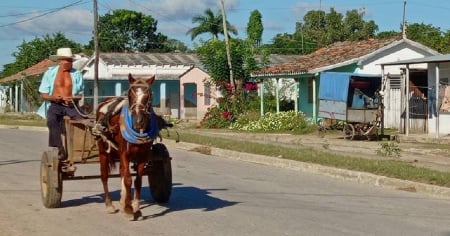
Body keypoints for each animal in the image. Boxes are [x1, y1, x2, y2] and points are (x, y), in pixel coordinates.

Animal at [95, 73, 158, 219]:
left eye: (149, 95)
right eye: (130, 94)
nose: (138, 121)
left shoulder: (143, 156)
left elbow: (137, 181)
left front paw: (136, 208)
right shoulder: (125, 153)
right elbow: (128, 179)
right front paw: (129, 209)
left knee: (122, 172)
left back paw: (123, 200)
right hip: (103, 150)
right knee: (104, 175)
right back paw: (110, 204)